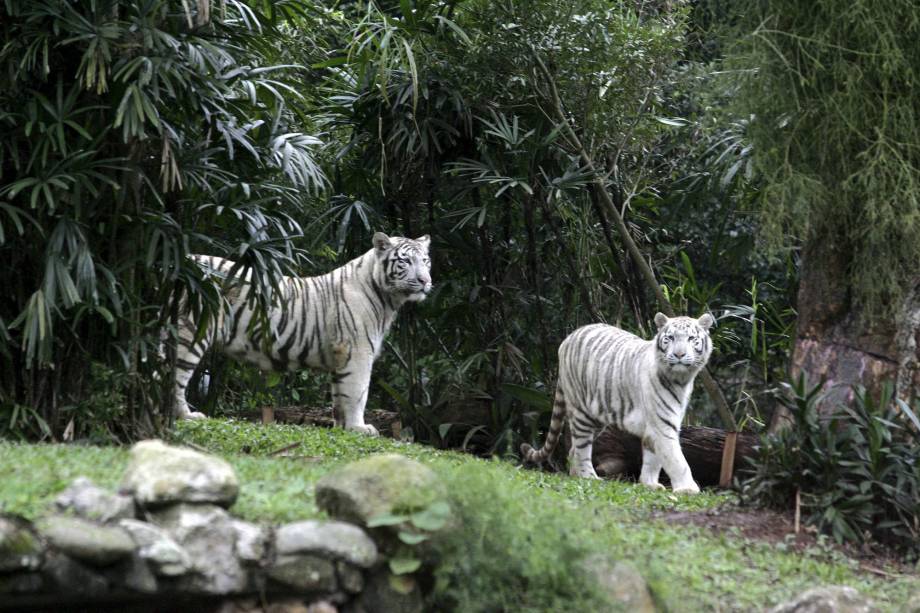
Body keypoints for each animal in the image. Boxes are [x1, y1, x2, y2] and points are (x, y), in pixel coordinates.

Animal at [168, 232, 432, 435]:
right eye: (405, 262)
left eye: (426, 261)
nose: (424, 281)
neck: (387, 298)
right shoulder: (357, 351)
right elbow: (358, 392)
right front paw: (360, 428)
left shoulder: (340, 356)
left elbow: (340, 396)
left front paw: (342, 428)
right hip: (191, 330)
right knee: (176, 377)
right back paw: (186, 416)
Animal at [520, 312, 714, 493]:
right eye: (671, 338)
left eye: (691, 338)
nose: (679, 354)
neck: (681, 379)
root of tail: (568, 338)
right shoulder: (663, 426)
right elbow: (676, 459)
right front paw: (688, 489)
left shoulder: (657, 426)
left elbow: (653, 459)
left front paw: (649, 484)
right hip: (582, 412)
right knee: (582, 448)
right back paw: (589, 477)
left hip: (597, 416)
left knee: (573, 450)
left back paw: (576, 476)